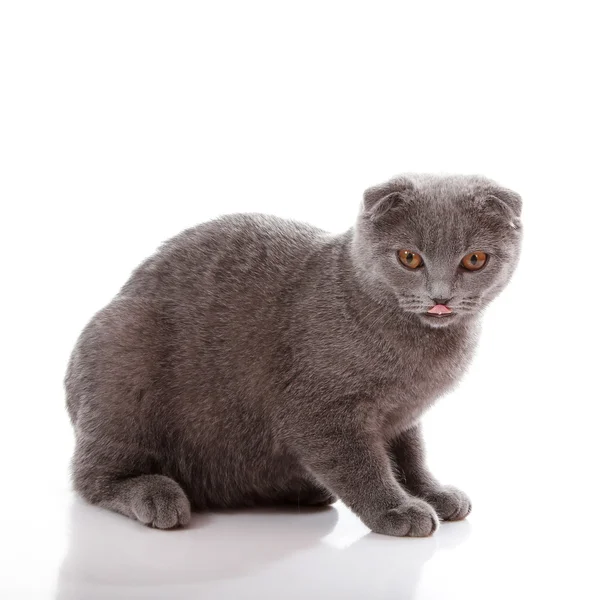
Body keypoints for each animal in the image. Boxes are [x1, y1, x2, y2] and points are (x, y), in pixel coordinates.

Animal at [65, 176, 524, 536]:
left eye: (475, 259)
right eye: (409, 257)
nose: (440, 297)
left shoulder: (401, 414)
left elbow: (410, 456)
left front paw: (432, 493)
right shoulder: (320, 410)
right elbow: (362, 463)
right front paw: (396, 509)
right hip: (121, 350)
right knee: (91, 476)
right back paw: (156, 494)